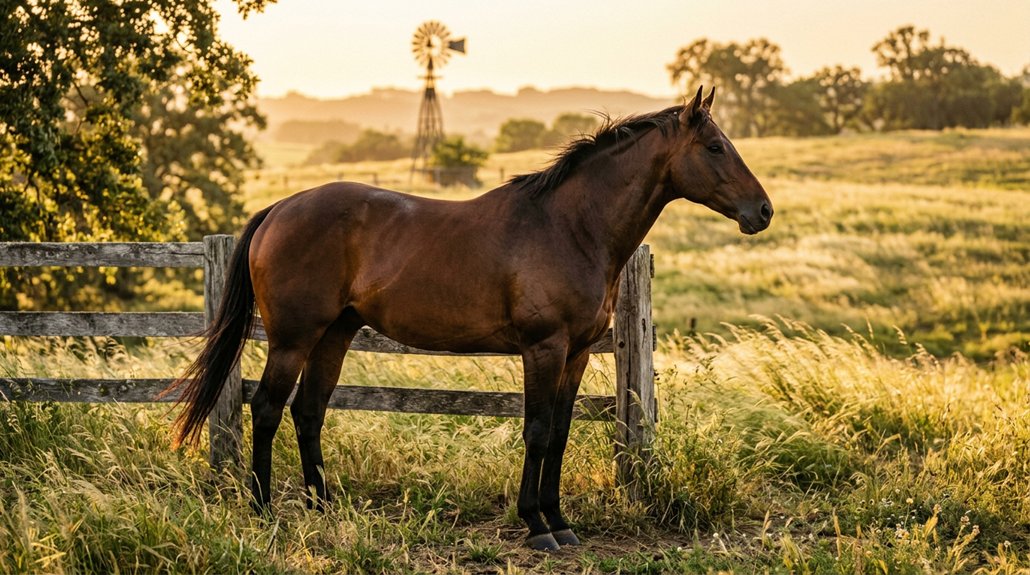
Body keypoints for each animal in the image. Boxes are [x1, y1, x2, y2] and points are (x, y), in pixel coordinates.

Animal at [167, 86, 772, 551]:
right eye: (715, 147)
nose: (762, 212)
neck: (571, 226)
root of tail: (279, 209)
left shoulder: (575, 354)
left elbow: (560, 433)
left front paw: (560, 522)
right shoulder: (544, 348)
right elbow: (536, 430)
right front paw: (536, 526)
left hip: (334, 336)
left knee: (308, 411)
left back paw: (324, 505)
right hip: (293, 339)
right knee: (268, 408)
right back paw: (263, 509)